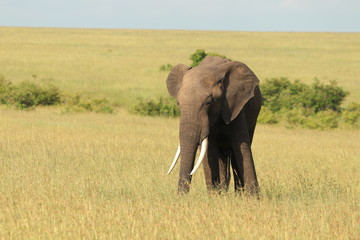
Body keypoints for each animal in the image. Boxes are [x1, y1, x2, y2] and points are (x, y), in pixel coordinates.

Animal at [166, 55, 262, 195]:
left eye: (209, 102)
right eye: (178, 103)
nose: (179, 197)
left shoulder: (235, 107)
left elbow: (242, 148)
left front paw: (253, 197)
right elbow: (209, 152)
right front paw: (215, 196)